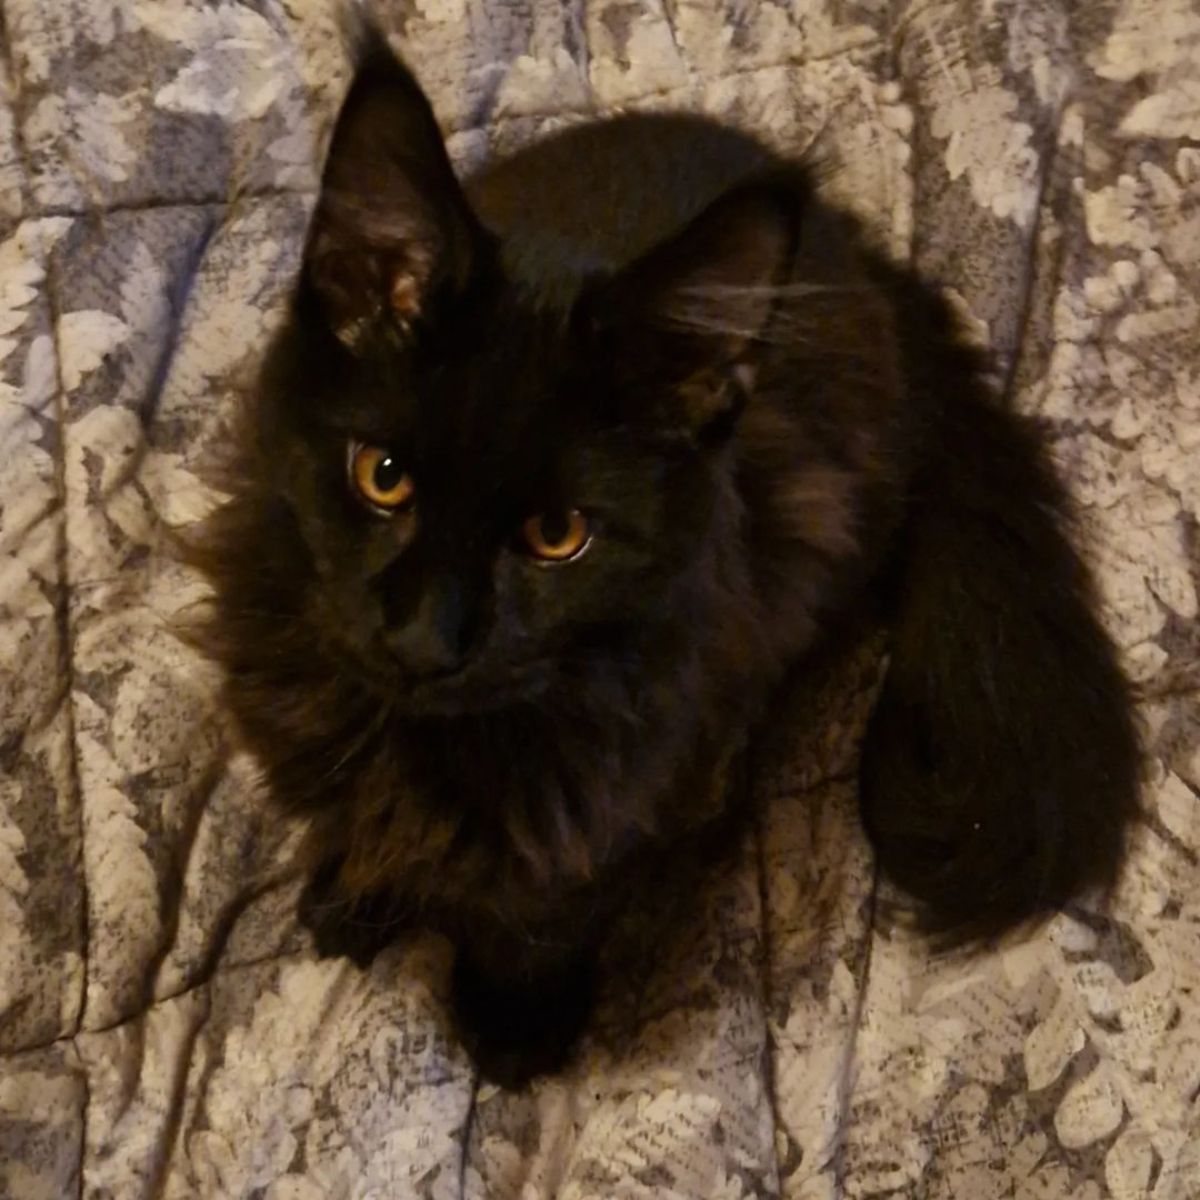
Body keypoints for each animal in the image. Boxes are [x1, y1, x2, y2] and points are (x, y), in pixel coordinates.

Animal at [189, 39, 1142, 1089]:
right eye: (383, 477)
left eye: (557, 535)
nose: (423, 640)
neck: (426, 746)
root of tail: (861, 252)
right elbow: (360, 821)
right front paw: (356, 895)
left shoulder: (650, 780)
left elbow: (546, 912)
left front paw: (515, 1020)